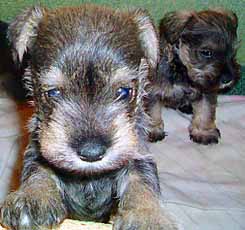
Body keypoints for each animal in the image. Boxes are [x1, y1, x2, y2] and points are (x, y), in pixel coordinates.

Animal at [0, 3, 178, 230]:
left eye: (124, 91)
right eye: (53, 92)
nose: (91, 153)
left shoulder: (137, 154)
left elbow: (142, 182)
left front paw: (147, 216)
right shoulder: (38, 149)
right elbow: (38, 170)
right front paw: (33, 198)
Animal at [148, 9, 240, 146]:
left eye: (232, 53)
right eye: (206, 52)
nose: (228, 79)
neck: (183, 71)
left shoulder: (207, 90)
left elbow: (205, 111)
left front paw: (204, 132)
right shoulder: (152, 91)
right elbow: (152, 112)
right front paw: (153, 131)